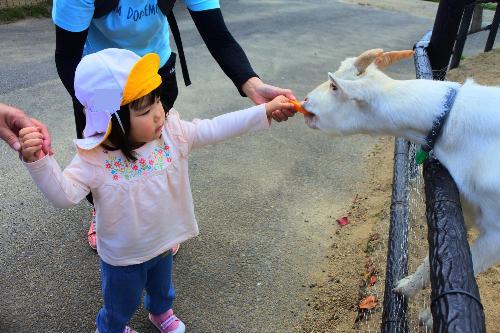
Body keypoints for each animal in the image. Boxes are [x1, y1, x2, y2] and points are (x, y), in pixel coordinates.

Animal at [302, 49, 500, 326]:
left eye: (333, 87)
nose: (305, 101)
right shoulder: (467, 204)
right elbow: (436, 257)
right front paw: (404, 287)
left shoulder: (496, 232)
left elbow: (476, 261)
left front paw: (429, 318)